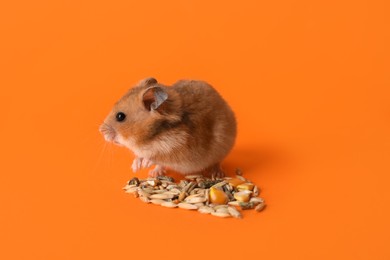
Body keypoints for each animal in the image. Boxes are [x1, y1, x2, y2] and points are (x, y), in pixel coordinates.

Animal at [99, 77, 236, 178]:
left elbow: (156, 157)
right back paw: (154, 173)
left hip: (222, 147)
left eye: (120, 116)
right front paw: (135, 167)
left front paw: (144, 164)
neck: (149, 138)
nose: (101, 130)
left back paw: (217, 175)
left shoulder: (176, 150)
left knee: (217, 162)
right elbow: (141, 157)